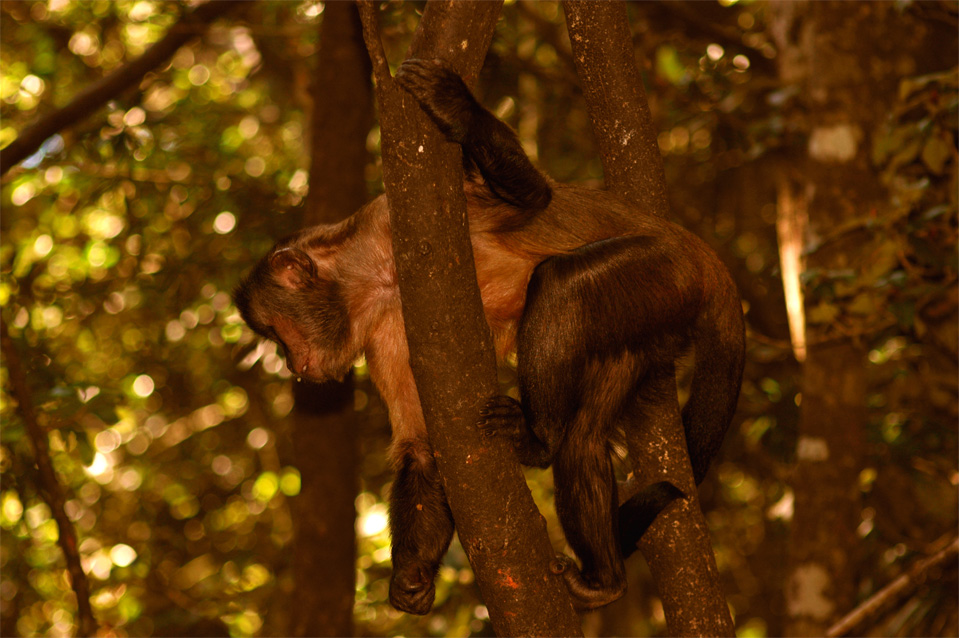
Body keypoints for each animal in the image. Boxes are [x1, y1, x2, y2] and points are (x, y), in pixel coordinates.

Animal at [236, 58, 748, 616]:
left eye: (275, 333)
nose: (289, 362)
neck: (377, 275)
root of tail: (703, 257)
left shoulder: (399, 218)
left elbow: (534, 196)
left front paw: (456, 106)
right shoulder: (383, 329)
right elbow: (423, 447)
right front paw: (411, 573)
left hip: (665, 273)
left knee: (560, 285)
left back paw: (537, 440)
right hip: (645, 326)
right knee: (583, 438)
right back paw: (605, 576)